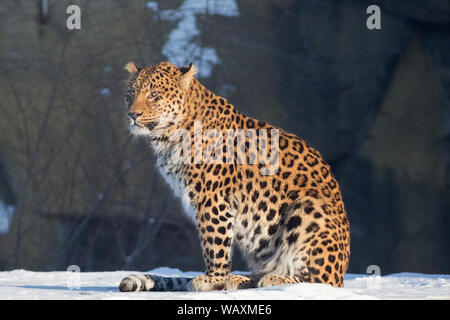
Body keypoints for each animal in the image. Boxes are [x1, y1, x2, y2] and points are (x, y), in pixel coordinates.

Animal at [118, 60, 350, 292]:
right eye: (129, 95)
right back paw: (241, 279)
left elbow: (214, 244)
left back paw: (276, 278)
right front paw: (220, 279)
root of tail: (342, 269)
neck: (169, 136)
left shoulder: (211, 198)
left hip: (308, 209)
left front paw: (213, 279)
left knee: (322, 281)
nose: (132, 115)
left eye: (154, 94)